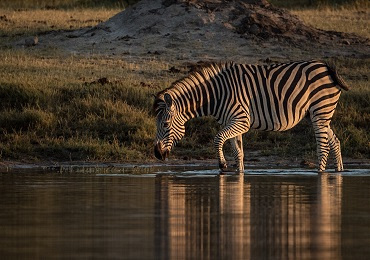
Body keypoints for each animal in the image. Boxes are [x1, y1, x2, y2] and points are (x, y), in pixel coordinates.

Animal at [153, 60, 350, 173]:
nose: (157, 154)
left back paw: (320, 174)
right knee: (335, 141)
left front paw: (222, 164)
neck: (216, 95)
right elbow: (238, 152)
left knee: (323, 146)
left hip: (320, 111)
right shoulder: (233, 122)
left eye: (165, 125)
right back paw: (339, 171)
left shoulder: (242, 120)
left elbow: (218, 139)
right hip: (317, 114)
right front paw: (239, 175)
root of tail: (326, 66)